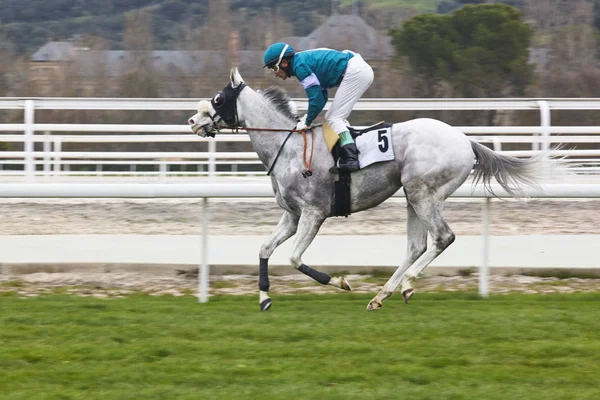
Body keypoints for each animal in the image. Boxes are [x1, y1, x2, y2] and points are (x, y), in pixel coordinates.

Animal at [189, 69, 556, 312]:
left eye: (218, 99)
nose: (193, 121)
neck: (288, 147)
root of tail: (466, 141)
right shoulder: (292, 215)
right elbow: (265, 249)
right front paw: (264, 297)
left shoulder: (313, 213)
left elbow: (294, 258)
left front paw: (340, 282)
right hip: (412, 196)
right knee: (416, 246)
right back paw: (383, 295)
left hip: (423, 193)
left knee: (442, 237)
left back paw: (407, 284)